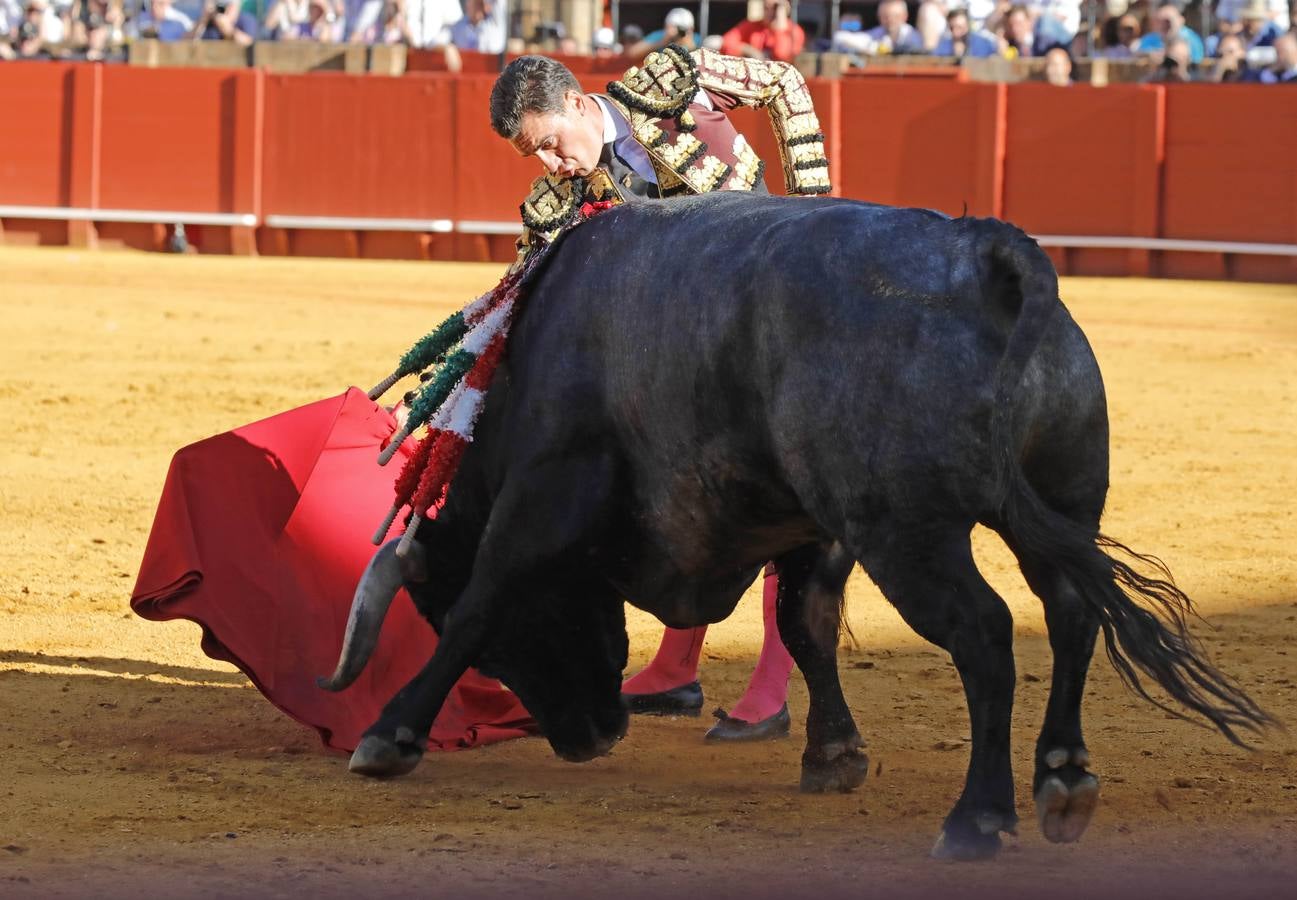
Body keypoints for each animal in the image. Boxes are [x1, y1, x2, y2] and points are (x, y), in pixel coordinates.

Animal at [321, 195, 1265, 861]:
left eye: (501, 646)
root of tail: (984, 250)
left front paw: (388, 736)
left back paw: (976, 817)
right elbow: (804, 625)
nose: (590, 738)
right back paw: (1062, 778)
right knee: (1068, 615)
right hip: (1063, 502)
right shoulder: (812, 528)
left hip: (908, 532)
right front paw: (833, 755)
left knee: (986, 634)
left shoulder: (549, 487)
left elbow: (485, 590)